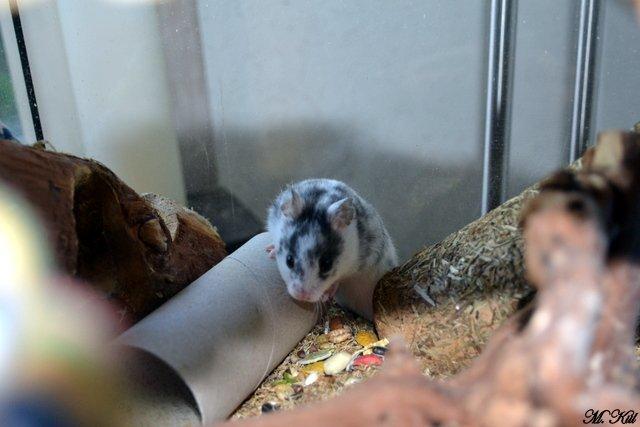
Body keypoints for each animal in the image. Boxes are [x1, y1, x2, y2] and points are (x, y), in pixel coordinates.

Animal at [266, 179, 398, 319]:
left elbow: (338, 280)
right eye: (289, 260)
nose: (302, 296)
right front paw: (270, 251)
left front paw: (326, 296)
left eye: (327, 265)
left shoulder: (354, 269)